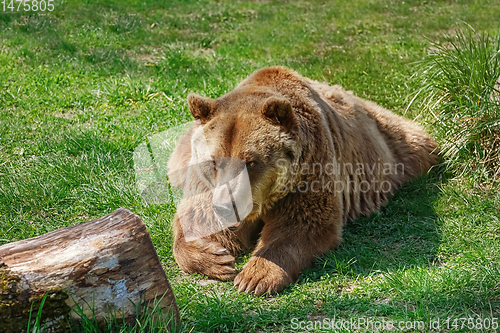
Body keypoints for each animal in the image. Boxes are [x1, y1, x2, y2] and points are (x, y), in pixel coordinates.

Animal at [168, 66, 438, 294]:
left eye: (251, 162)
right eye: (214, 161)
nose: (227, 206)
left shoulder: (310, 171)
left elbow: (304, 224)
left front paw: (254, 277)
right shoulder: (205, 184)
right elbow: (198, 217)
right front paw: (217, 257)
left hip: (395, 144)